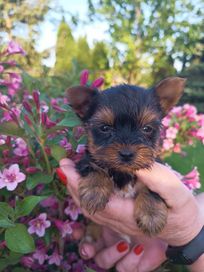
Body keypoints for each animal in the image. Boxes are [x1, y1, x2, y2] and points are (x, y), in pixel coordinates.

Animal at [66, 76, 186, 236]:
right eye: (105, 128)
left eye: (147, 128)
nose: (127, 154)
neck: (123, 172)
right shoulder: (86, 160)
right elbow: (94, 168)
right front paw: (94, 192)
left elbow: (153, 190)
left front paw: (151, 215)